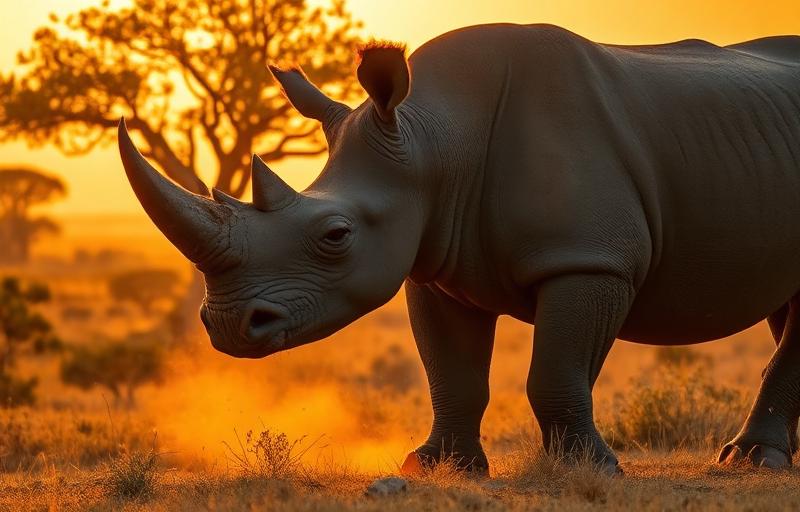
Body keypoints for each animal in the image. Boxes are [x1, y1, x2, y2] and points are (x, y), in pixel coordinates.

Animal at [118, 23, 800, 475]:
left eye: (336, 237)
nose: (229, 326)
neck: (435, 140)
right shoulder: (436, 265)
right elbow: (453, 373)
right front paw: (435, 467)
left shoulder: (588, 257)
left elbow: (555, 370)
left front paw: (584, 470)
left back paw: (750, 462)